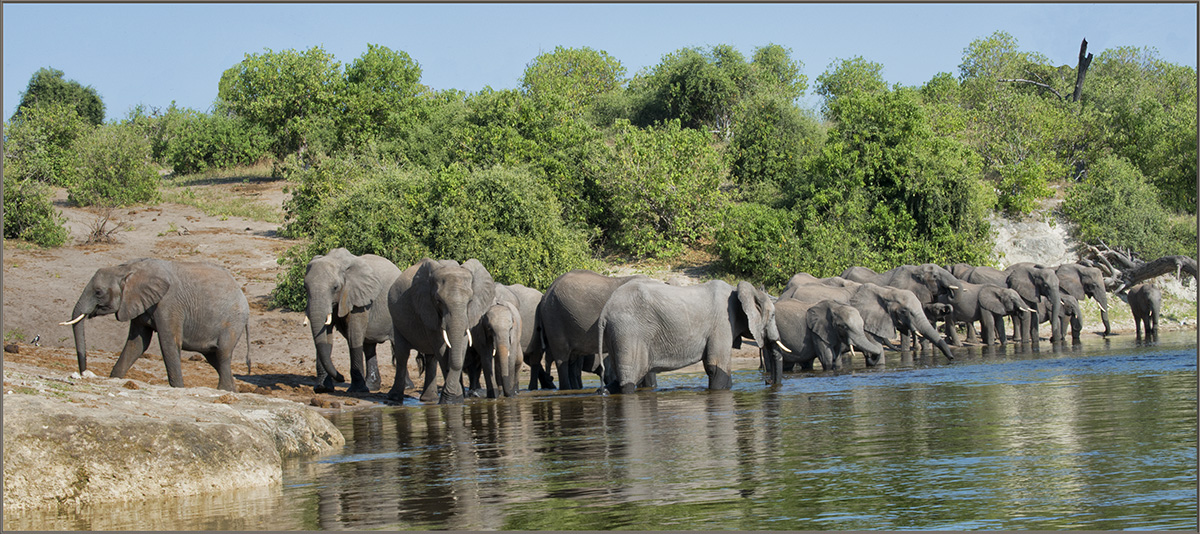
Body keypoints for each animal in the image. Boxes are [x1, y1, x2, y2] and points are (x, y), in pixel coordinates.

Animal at [61, 258, 250, 392]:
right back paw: (231, 390)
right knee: (213, 358)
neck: (127, 269)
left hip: (232, 322)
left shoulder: (169, 304)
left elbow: (168, 343)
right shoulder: (137, 303)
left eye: (98, 292)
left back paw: (223, 390)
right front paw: (115, 378)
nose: (83, 374)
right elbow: (137, 344)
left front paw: (178, 388)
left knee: (222, 354)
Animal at [303, 248, 402, 393]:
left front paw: (357, 390)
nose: (341, 377)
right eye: (305, 287)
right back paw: (372, 387)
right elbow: (326, 336)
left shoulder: (359, 299)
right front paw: (322, 388)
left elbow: (353, 337)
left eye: (335, 287)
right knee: (369, 347)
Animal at [387, 258, 496, 404]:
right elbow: (442, 349)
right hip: (396, 321)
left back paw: (429, 399)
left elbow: (460, 346)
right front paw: (452, 401)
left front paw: (453, 399)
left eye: (470, 301)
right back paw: (394, 398)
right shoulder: (428, 309)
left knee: (431, 358)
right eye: (438, 301)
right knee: (402, 355)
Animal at [598, 280, 779, 394]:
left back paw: (602, 391)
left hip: (616, 334)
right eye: (772, 316)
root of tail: (604, 314)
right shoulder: (722, 323)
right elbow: (716, 368)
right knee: (629, 380)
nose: (768, 382)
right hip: (629, 332)